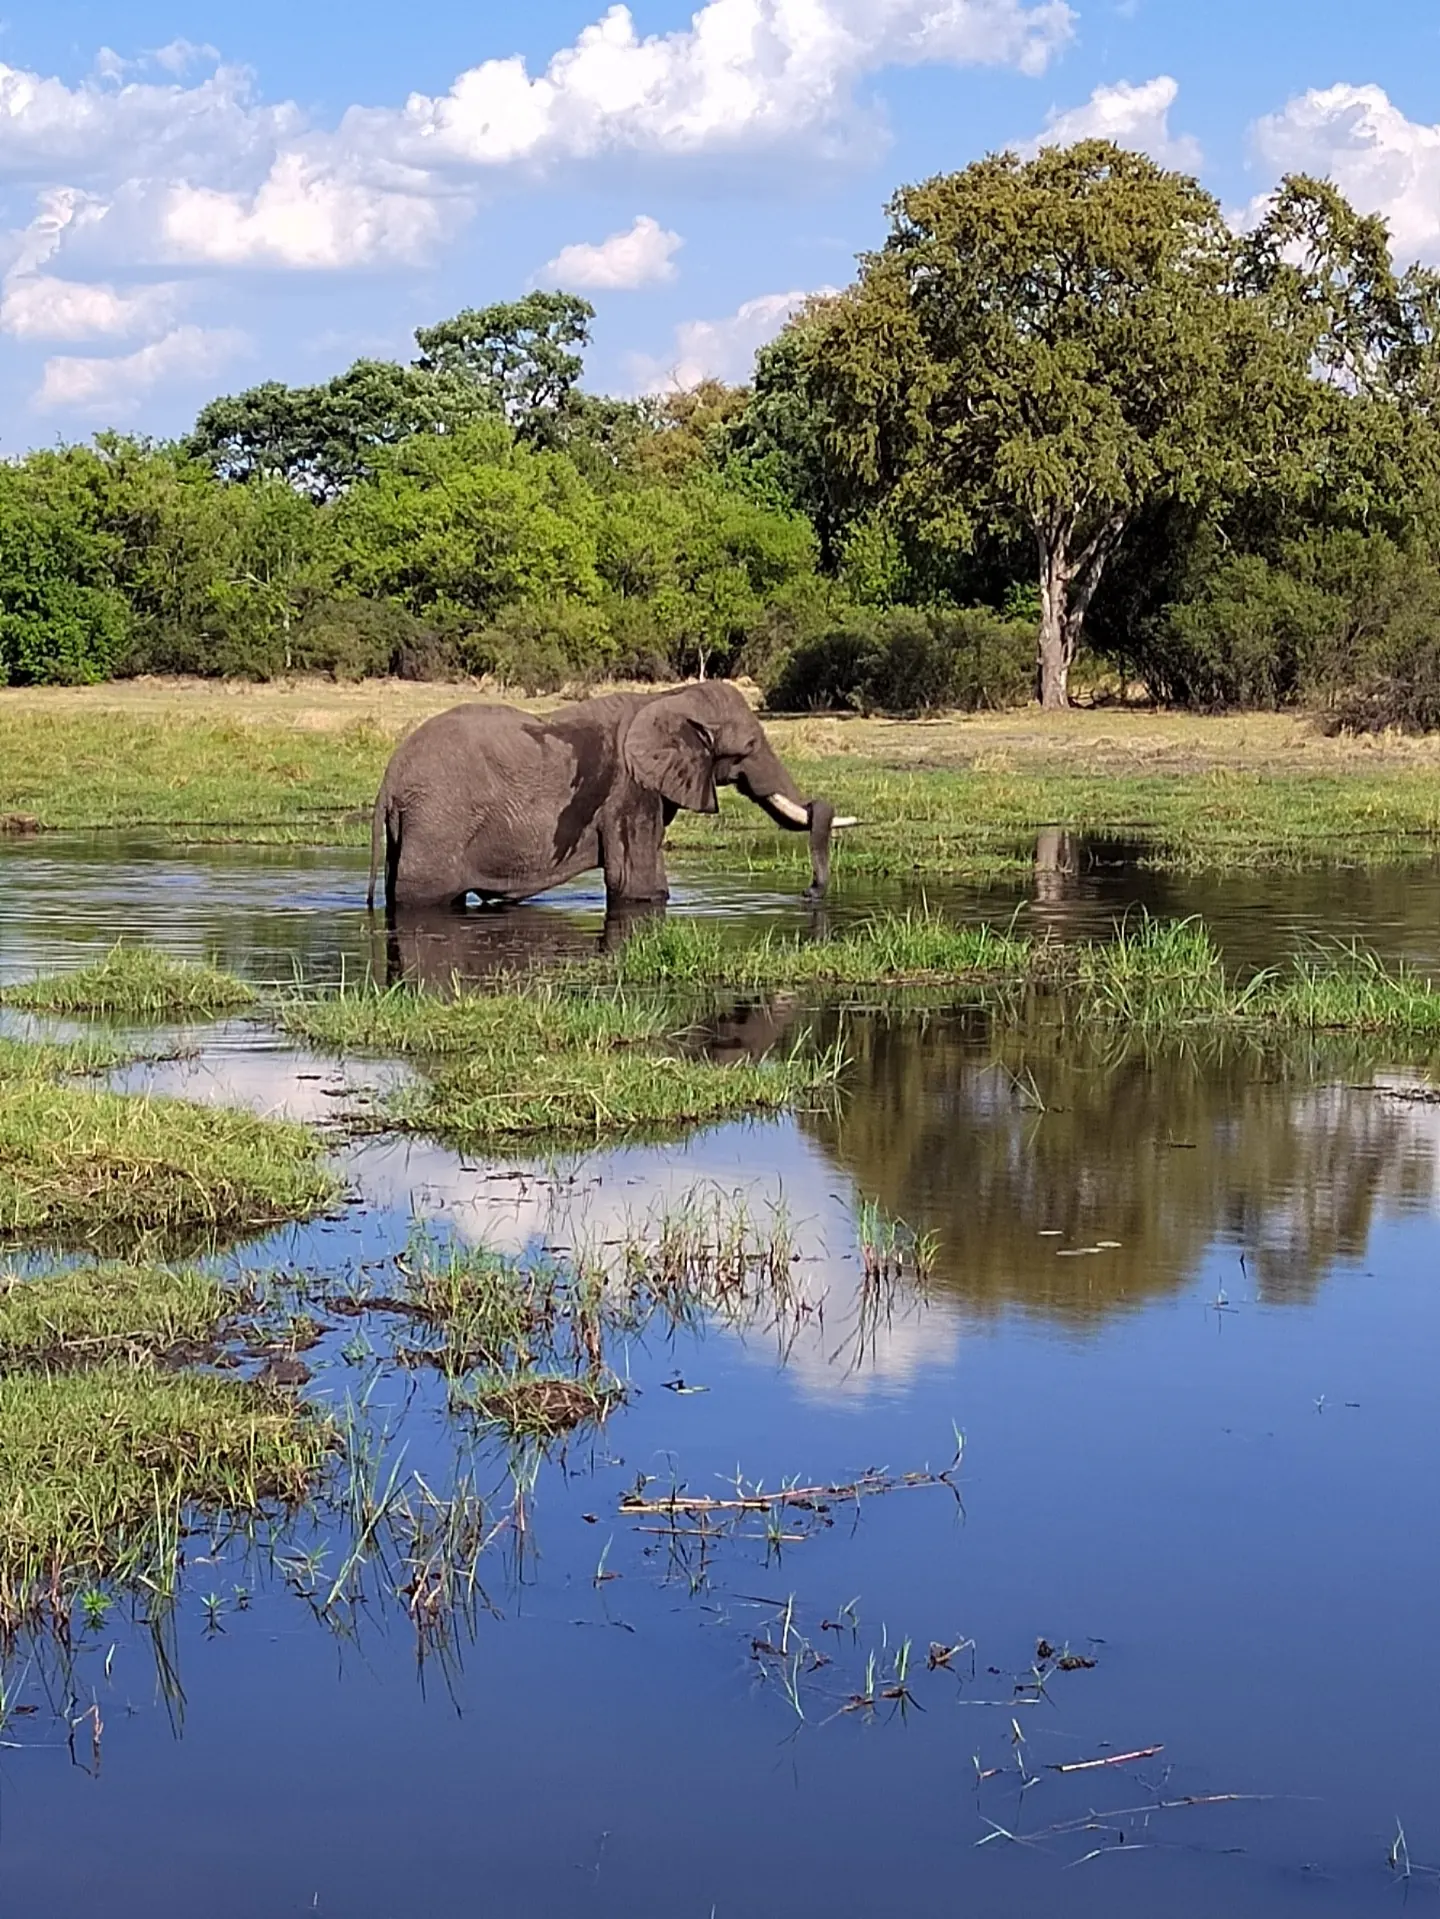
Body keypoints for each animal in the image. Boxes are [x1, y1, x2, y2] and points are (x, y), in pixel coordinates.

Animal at [366, 681, 855, 914]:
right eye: (751, 746)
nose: (808, 894)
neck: (669, 698)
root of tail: (389, 779)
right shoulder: (630, 790)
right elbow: (638, 888)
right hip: (438, 821)